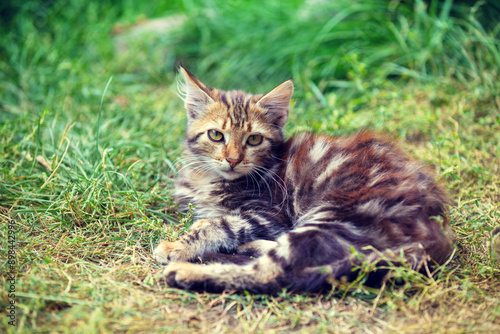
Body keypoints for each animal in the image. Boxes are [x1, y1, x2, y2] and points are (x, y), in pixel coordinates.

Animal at [152, 66, 454, 294]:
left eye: (254, 139)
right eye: (216, 135)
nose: (233, 160)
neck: (208, 178)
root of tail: (434, 228)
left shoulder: (269, 214)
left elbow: (218, 224)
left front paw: (178, 246)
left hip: (333, 214)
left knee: (276, 273)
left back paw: (187, 272)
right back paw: (251, 247)